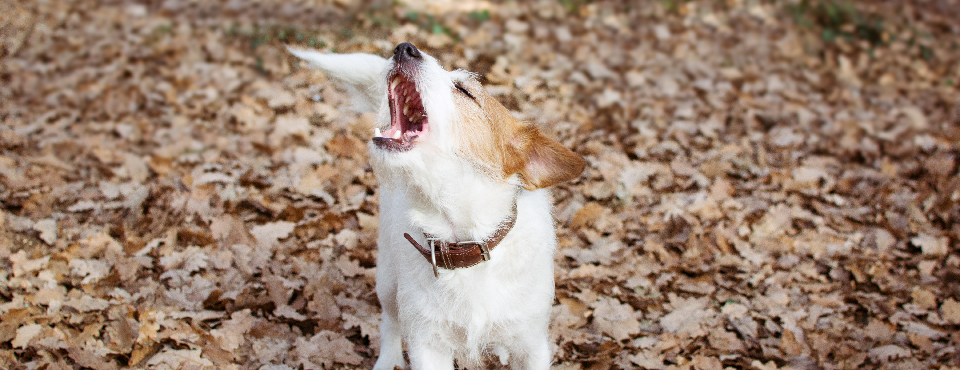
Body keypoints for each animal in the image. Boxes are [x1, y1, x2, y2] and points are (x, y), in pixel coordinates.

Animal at [284, 42, 584, 368]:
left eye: (464, 91)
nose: (404, 48)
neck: (464, 239)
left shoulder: (531, 345)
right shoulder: (427, 344)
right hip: (387, 279)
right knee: (390, 321)